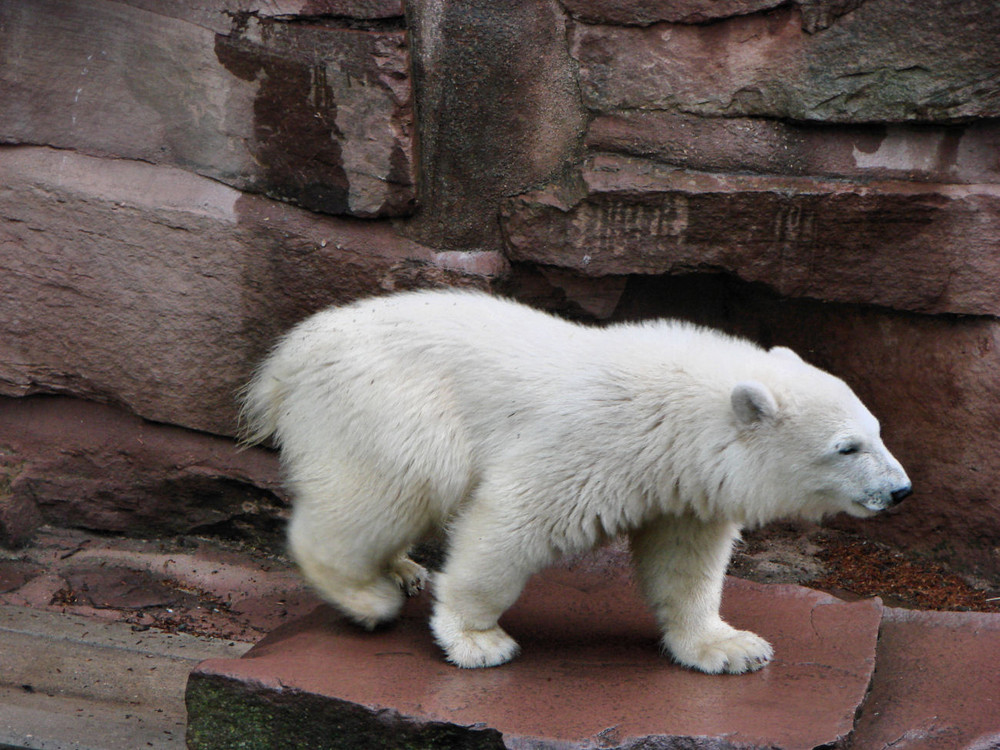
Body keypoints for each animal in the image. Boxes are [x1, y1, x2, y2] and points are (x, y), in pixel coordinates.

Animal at [240, 290, 908, 676]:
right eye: (846, 447)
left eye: (878, 429)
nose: (900, 489)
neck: (677, 414)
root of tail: (287, 359)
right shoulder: (593, 441)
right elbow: (514, 522)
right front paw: (478, 639)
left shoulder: (682, 485)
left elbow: (684, 562)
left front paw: (731, 647)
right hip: (391, 404)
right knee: (386, 488)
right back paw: (367, 596)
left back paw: (402, 569)